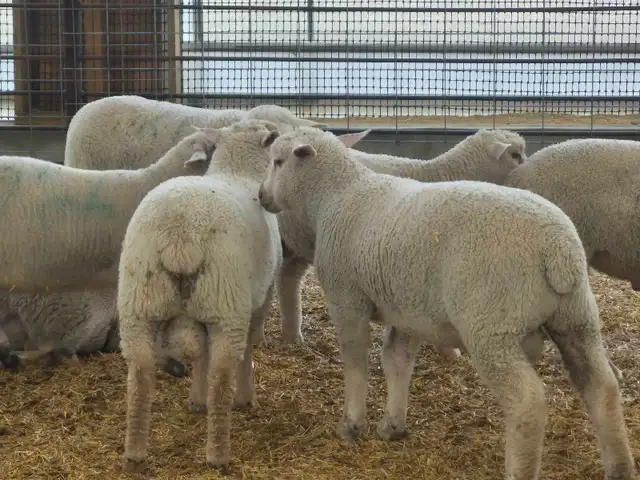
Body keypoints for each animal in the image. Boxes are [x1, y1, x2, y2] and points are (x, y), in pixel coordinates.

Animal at [118, 119, 282, 472]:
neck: (237, 170)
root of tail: (181, 234)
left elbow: (199, 354)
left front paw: (196, 400)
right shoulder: (260, 299)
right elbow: (248, 347)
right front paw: (245, 398)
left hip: (139, 303)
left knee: (140, 375)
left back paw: (135, 451)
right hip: (225, 305)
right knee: (221, 378)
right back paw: (218, 454)